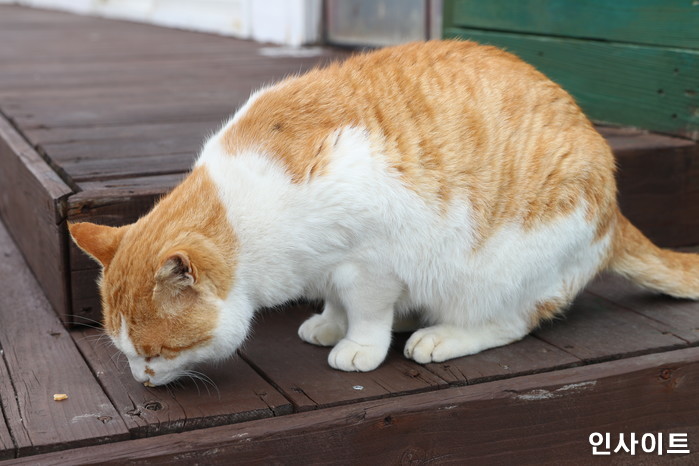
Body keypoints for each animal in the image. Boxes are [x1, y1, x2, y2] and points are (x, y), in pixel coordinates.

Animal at [68, 41, 696, 388]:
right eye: (128, 354)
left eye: (155, 353)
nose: (141, 380)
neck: (250, 217)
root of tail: (614, 212)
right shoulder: (329, 265)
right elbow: (335, 300)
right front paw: (328, 323)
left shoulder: (369, 260)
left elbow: (366, 311)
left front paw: (358, 346)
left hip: (495, 273)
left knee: (511, 321)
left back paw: (438, 336)